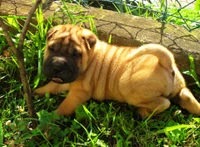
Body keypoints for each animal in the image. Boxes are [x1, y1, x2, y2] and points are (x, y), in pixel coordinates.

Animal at [34, 24, 200, 117]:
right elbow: (51, 86)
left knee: (164, 103)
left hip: (126, 86)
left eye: (76, 54)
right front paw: (36, 92)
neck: (90, 57)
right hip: (179, 87)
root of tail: (165, 62)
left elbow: (64, 106)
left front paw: (51, 120)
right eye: (51, 48)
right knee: (186, 97)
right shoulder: (65, 82)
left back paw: (143, 113)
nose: (57, 65)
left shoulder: (78, 93)